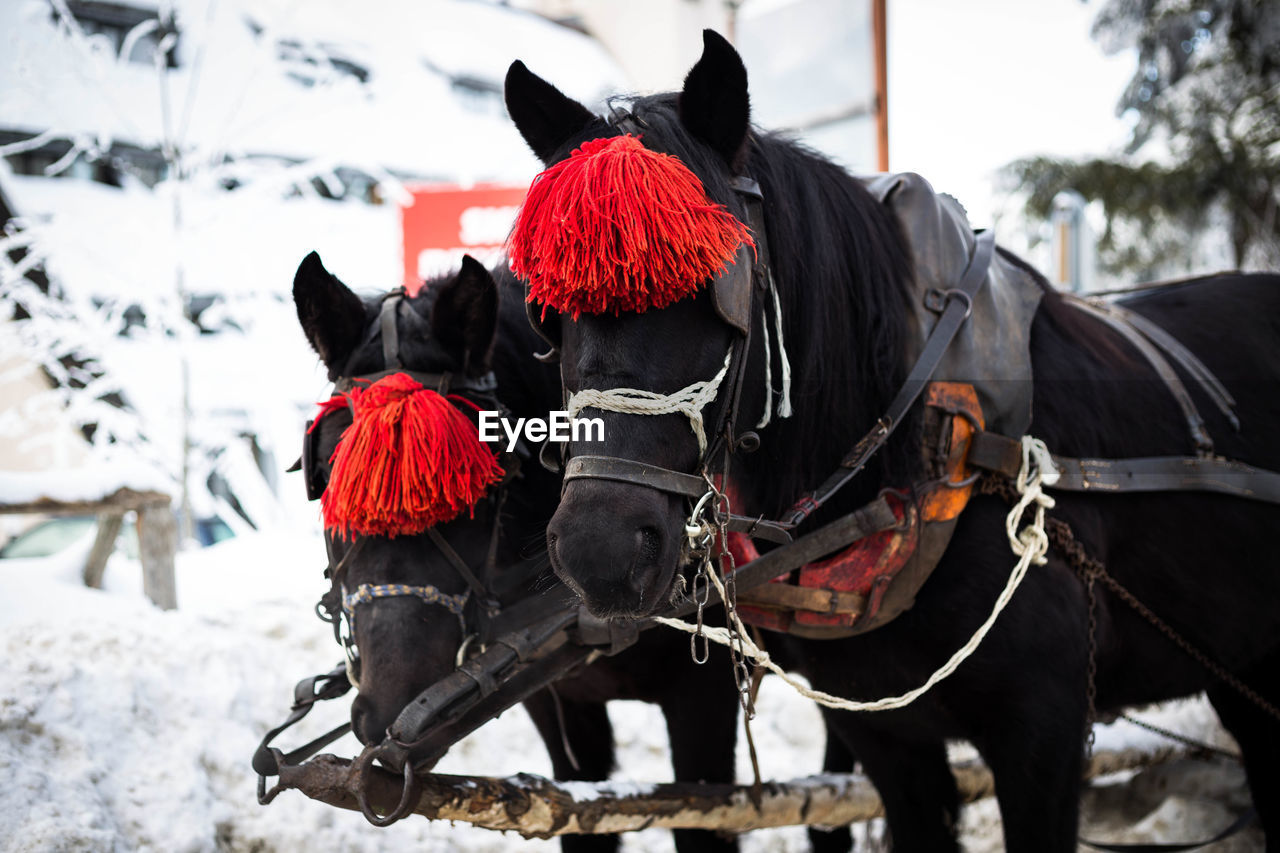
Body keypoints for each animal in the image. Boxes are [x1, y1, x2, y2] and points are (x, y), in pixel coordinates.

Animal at [499, 29, 1280, 845]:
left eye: (715, 288)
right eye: (546, 312)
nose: (599, 551)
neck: (923, 446)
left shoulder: (1045, 733)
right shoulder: (889, 741)